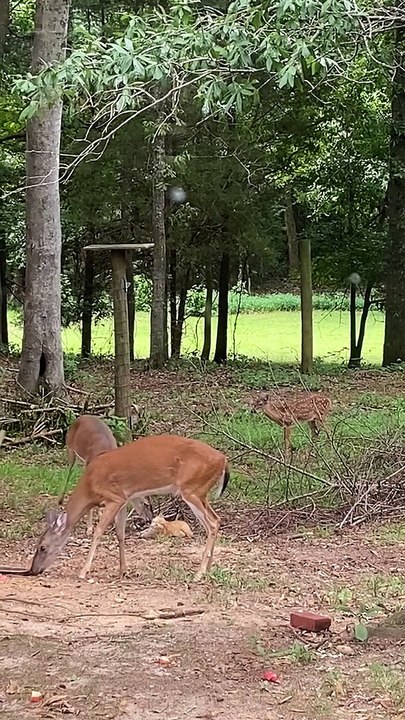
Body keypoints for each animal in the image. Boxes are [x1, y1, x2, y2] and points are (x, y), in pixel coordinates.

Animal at [30, 433, 230, 582]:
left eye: (42, 547)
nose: (33, 570)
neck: (89, 488)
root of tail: (224, 460)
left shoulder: (114, 497)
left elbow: (99, 532)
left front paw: (83, 571)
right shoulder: (125, 500)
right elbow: (120, 533)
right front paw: (122, 571)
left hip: (191, 488)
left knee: (212, 523)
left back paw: (199, 573)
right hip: (200, 491)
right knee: (216, 520)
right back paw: (208, 569)